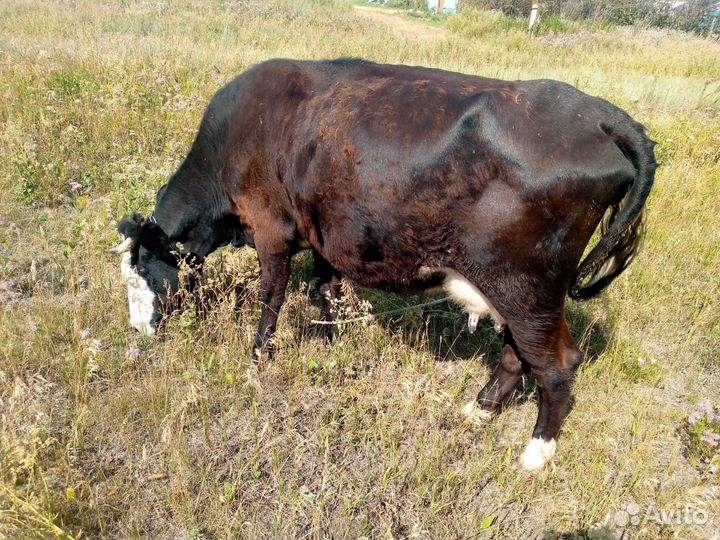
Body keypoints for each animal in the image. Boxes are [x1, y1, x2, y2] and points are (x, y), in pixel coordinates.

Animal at [109, 58, 657, 470]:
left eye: (145, 276)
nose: (138, 333)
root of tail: (599, 114)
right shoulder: (323, 235)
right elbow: (325, 292)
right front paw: (330, 345)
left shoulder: (271, 230)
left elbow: (273, 297)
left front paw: (258, 357)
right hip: (517, 291)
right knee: (516, 355)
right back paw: (477, 411)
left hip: (528, 288)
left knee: (557, 365)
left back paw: (535, 454)